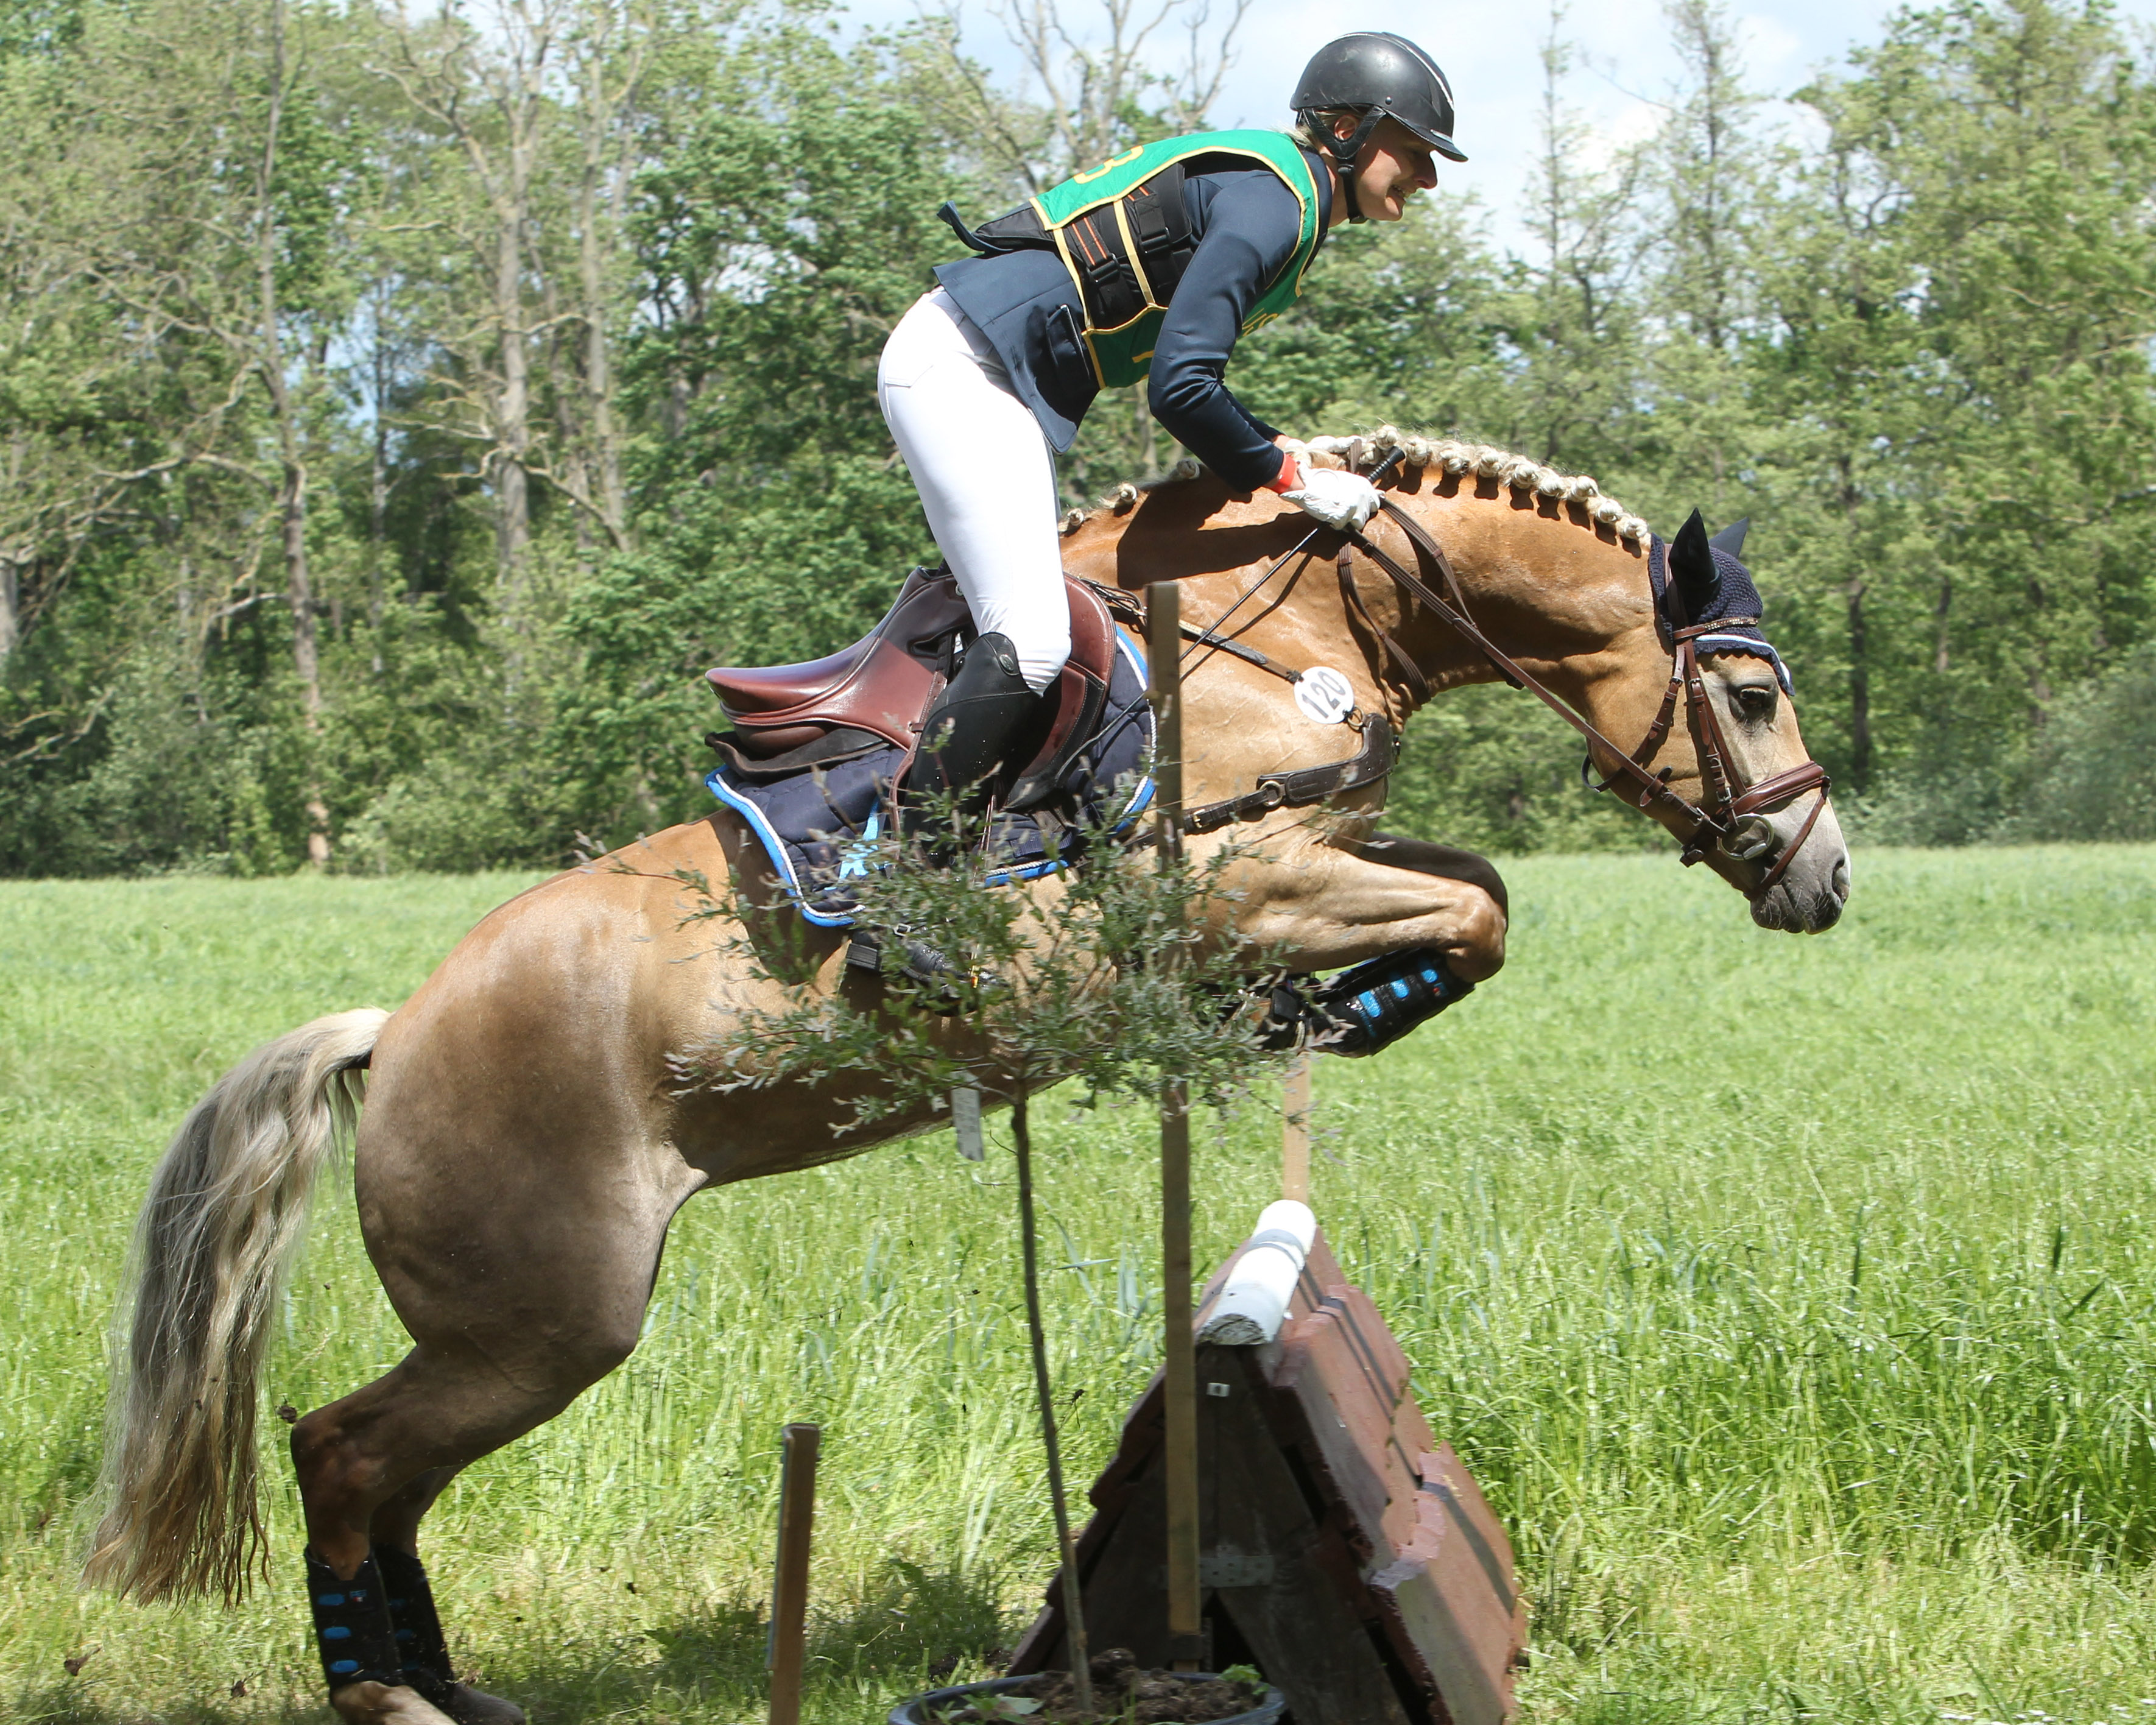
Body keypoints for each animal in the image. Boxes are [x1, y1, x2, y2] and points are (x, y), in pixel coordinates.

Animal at [88, 431, 1854, 1725]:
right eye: (1751, 693)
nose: (1822, 878)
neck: (1286, 629)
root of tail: (394, 1034)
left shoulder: (1318, 858)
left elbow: (1475, 888)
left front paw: (1324, 1010)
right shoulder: (1235, 884)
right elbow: (1475, 908)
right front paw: (1328, 1009)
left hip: (516, 1331)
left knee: (378, 1474)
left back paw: (449, 1689)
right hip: (542, 1320)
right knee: (343, 1454)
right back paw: (389, 1699)